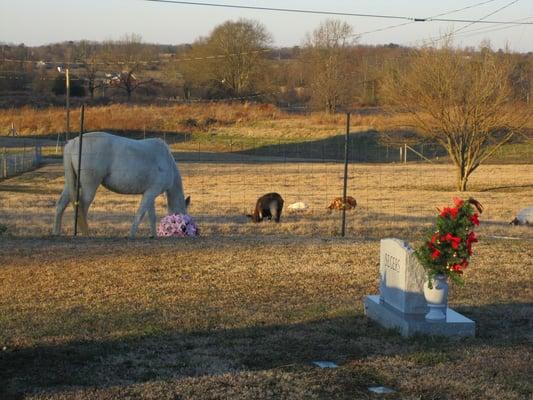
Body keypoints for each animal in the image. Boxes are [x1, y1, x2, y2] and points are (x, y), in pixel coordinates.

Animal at [53, 131, 190, 238]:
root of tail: (73, 142)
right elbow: (140, 214)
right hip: (89, 186)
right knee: (82, 207)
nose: (184, 231)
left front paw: (154, 235)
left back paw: (56, 232)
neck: (166, 161)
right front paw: (132, 234)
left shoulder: (149, 194)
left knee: (61, 204)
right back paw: (85, 233)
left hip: (72, 183)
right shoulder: (151, 192)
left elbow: (151, 216)